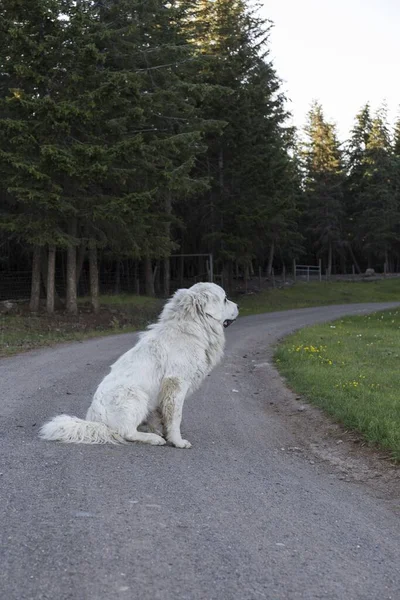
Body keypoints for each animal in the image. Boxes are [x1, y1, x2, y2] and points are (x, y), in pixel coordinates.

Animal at [39, 284, 239, 448]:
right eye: (225, 299)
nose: (238, 306)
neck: (192, 327)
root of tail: (98, 422)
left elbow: (163, 416)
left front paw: (163, 432)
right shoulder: (176, 383)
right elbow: (175, 417)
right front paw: (177, 441)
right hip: (135, 394)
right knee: (127, 433)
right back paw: (153, 439)